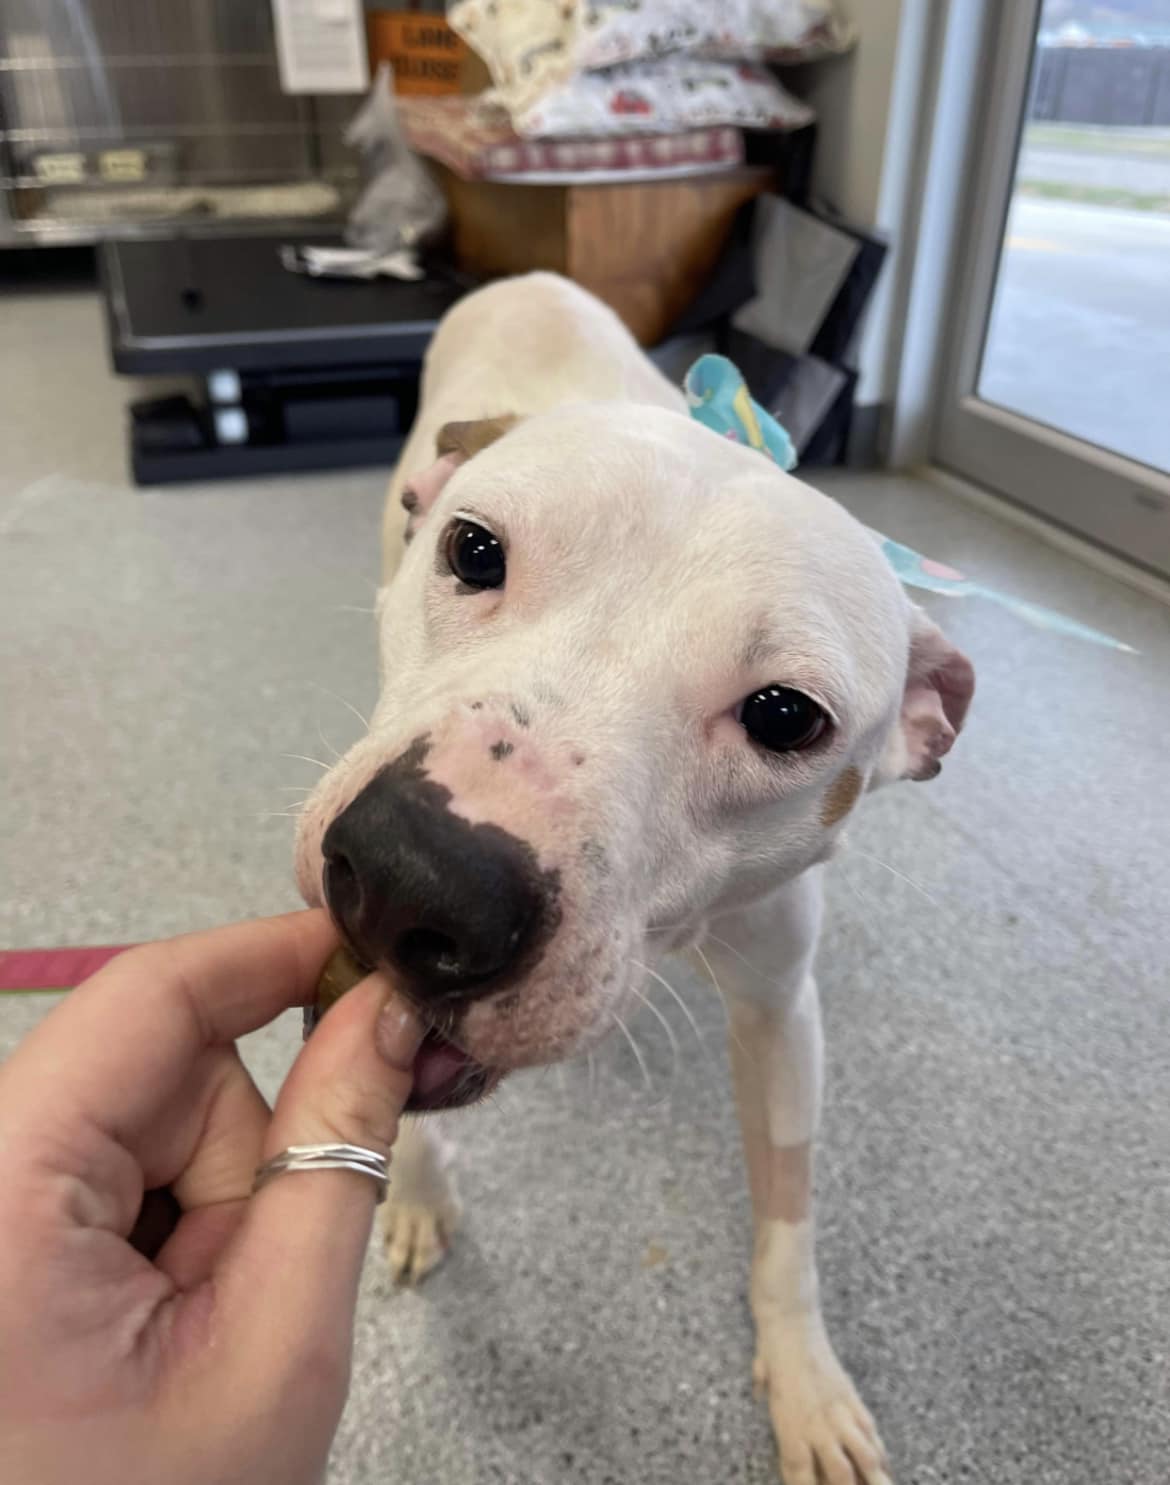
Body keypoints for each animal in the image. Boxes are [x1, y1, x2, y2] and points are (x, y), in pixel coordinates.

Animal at [296, 273, 974, 1479]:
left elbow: (788, 1218)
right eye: (475, 552)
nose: (420, 877)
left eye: (786, 716)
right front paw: (415, 1189)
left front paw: (804, 1376)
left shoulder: (781, 1012)